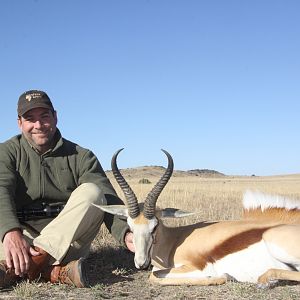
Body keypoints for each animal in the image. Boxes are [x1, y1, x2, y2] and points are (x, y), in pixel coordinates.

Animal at [94, 149, 300, 286]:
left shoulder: (194, 266)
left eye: (155, 226)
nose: (141, 263)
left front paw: (220, 277)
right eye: (130, 226)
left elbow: (155, 276)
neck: (174, 241)